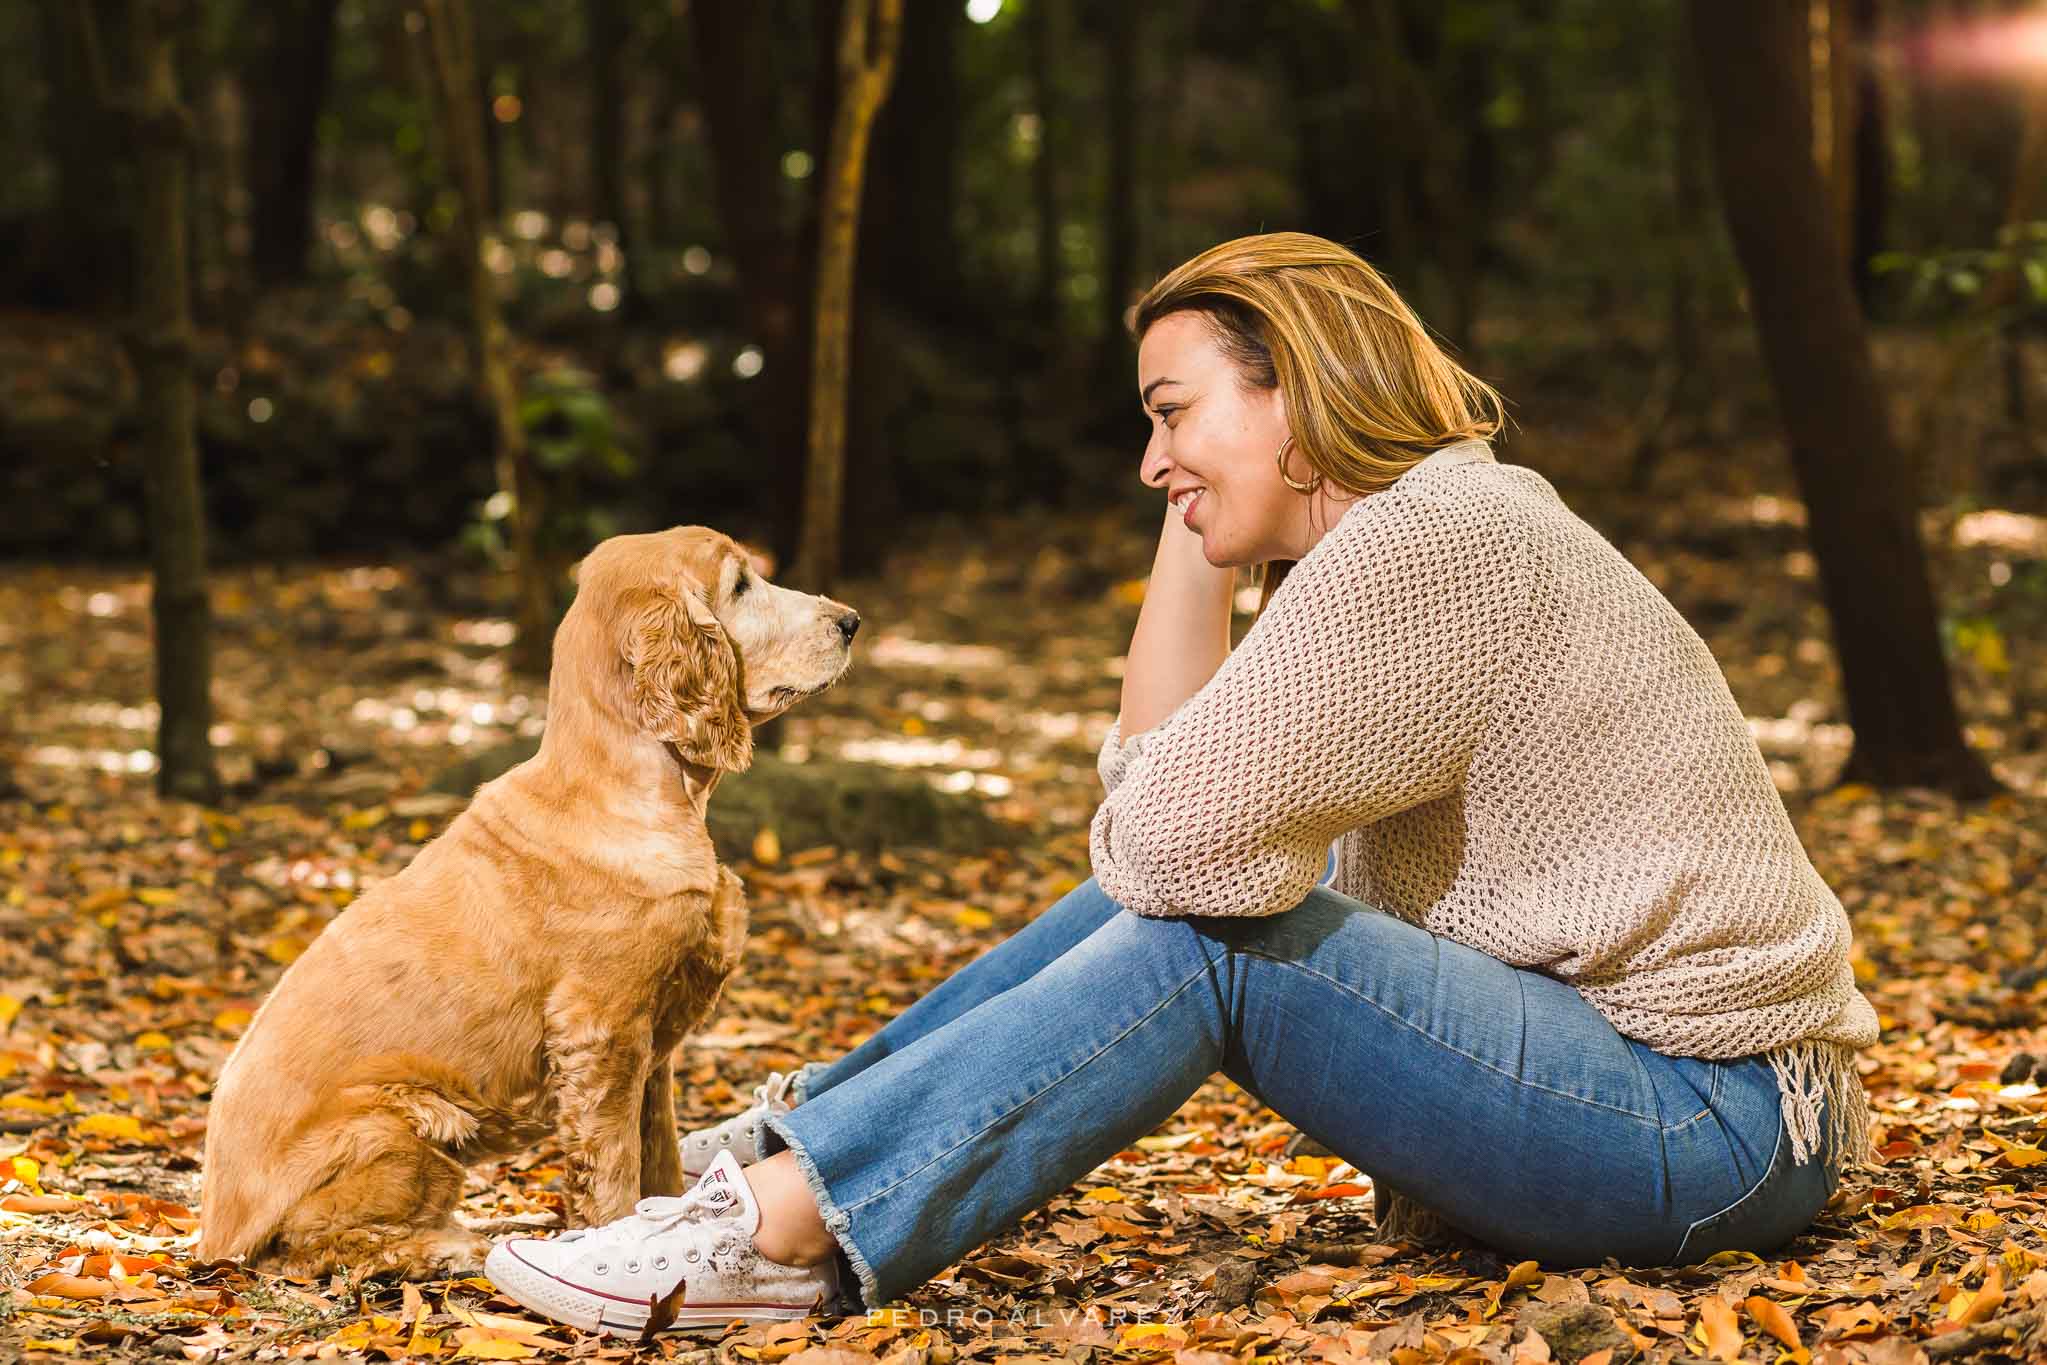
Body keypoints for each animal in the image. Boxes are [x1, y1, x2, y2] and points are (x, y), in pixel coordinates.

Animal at [195, 527, 859, 1285]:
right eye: (742, 585)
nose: (850, 621)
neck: (629, 789)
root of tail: (214, 1227)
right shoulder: (601, 1031)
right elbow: (612, 1169)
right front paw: (614, 1240)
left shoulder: (652, 1050)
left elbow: (658, 1159)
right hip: (404, 1120)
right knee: (310, 1244)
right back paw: (445, 1245)